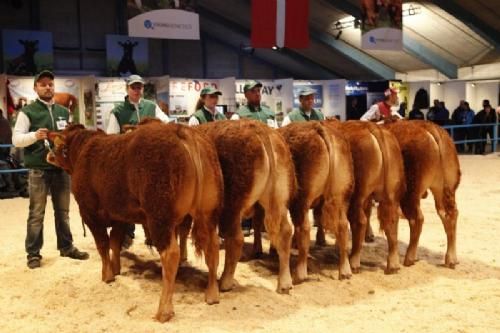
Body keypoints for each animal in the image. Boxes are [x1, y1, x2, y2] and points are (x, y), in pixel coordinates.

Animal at [47, 122, 223, 322]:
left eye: (58, 145)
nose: (49, 155)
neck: (82, 150)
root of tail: (181, 130)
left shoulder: (89, 213)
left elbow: (102, 244)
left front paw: (107, 275)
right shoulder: (119, 216)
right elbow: (115, 242)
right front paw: (116, 269)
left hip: (160, 217)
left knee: (171, 254)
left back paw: (163, 311)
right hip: (209, 212)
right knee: (212, 248)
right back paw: (212, 295)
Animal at [196, 120, 294, 294]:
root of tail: (261, 130)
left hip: (232, 206)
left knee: (235, 239)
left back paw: (225, 282)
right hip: (279, 199)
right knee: (285, 232)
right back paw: (284, 283)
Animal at [280, 120, 354, 282]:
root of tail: (318, 127)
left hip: (302, 200)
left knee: (304, 228)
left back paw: (300, 273)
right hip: (340, 196)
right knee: (343, 226)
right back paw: (345, 271)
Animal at [330, 120, 408, 274]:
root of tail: (373, 127)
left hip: (359, 195)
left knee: (359, 221)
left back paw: (354, 261)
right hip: (389, 195)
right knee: (392, 221)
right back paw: (393, 264)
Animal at [382, 119, 460, 268]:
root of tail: (429, 127)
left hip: (410, 194)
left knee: (417, 219)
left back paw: (409, 258)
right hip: (444, 189)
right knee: (449, 215)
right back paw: (451, 259)